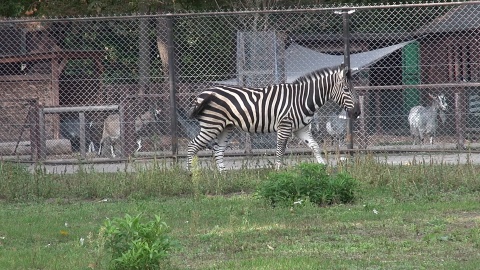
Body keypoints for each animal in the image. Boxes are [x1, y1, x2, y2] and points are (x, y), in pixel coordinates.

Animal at [188, 63, 360, 171]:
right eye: (346, 89)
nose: (357, 113)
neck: (302, 99)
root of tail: (202, 93)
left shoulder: (301, 129)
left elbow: (315, 146)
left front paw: (323, 168)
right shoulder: (284, 126)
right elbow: (280, 150)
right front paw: (278, 171)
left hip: (226, 127)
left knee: (218, 150)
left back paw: (223, 176)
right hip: (211, 125)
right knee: (193, 146)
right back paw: (191, 175)